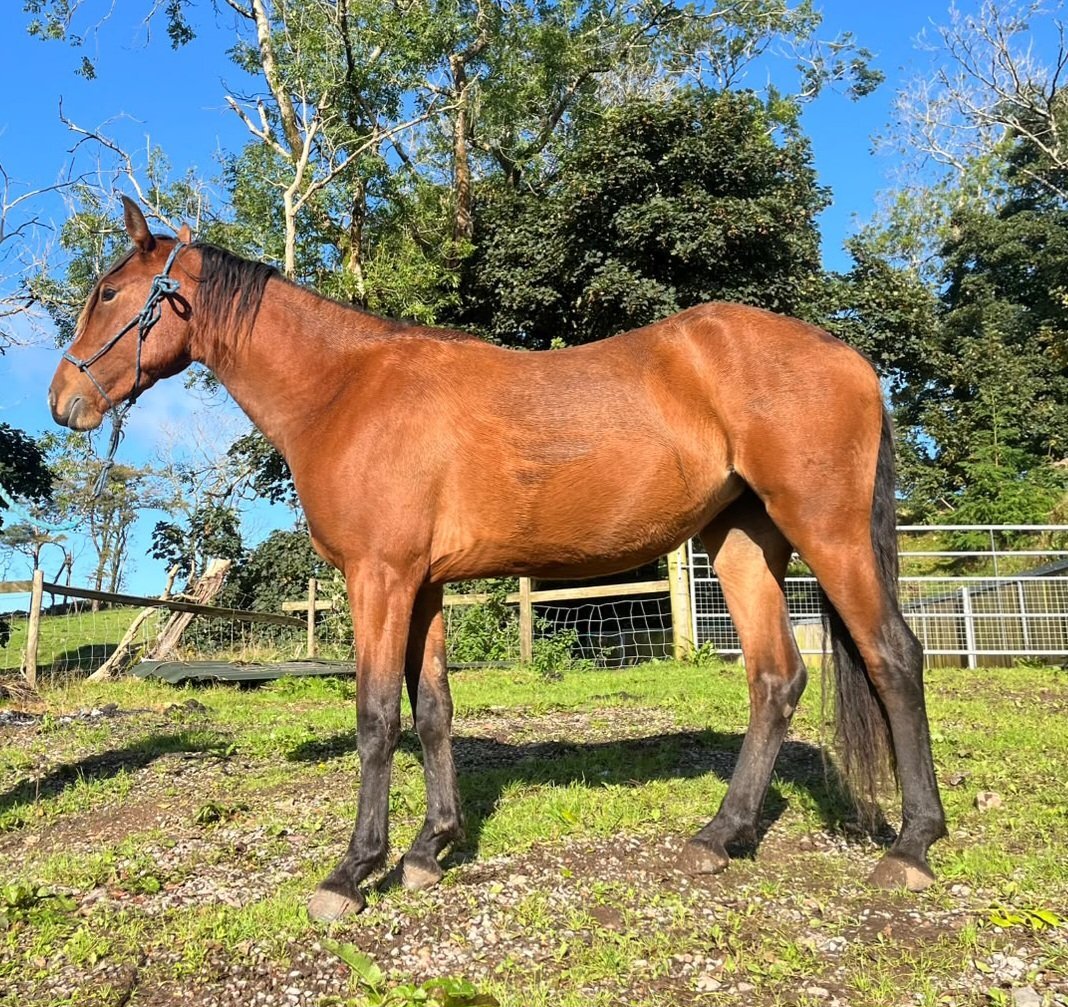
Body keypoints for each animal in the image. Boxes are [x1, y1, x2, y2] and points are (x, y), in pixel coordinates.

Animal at [49, 197, 946, 922]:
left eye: (108, 294)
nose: (64, 401)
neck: (345, 389)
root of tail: (849, 357)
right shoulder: (422, 586)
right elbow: (434, 711)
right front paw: (430, 848)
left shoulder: (379, 579)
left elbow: (377, 717)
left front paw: (352, 871)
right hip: (742, 542)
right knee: (775, 678)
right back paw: (719, 835)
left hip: (828, 533)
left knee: (893, 657)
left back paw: (910, 846)